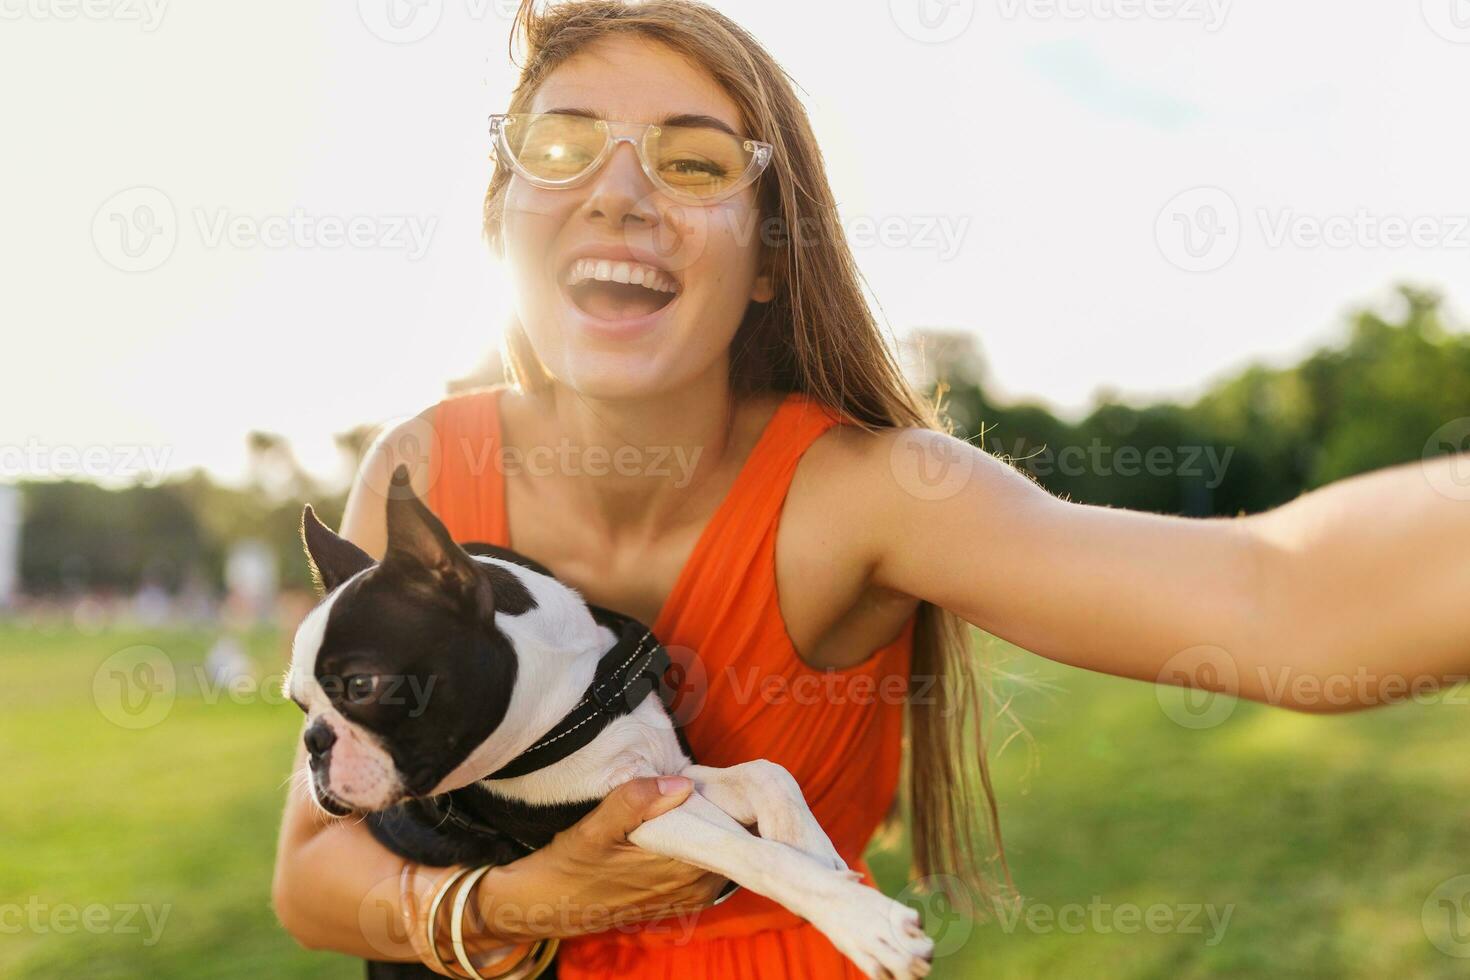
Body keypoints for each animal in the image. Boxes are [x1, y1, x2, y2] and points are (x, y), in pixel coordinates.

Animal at [285, 467, 929, 980]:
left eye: (360, 687)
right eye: (299, 704)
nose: (314, 742)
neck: (573, 694)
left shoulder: (670, 772)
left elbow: (770, 776)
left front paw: (829, 868)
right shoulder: (630, 810)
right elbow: (749, 853)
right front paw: (861, 920)